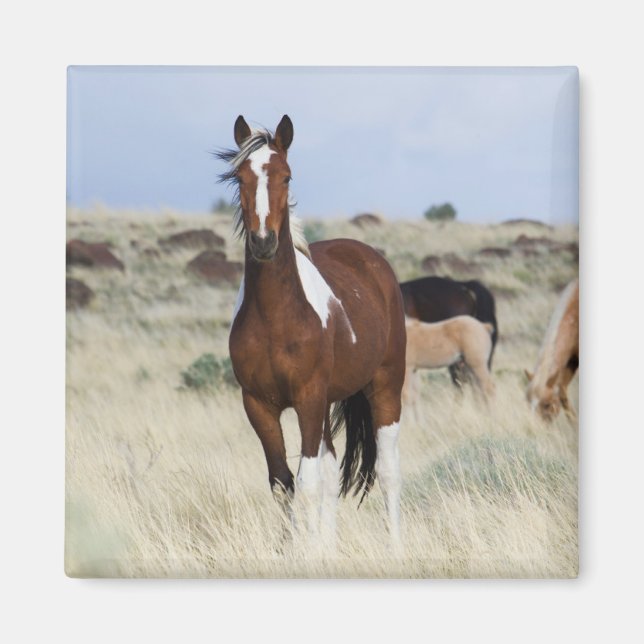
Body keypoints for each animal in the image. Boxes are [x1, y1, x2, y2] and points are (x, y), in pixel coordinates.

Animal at [218, 115, 407, 544]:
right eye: (239, 177)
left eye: (286, 176)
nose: (264, 243)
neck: (277, 318)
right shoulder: (259, 405)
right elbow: (283, 483)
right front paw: (297, 548)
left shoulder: (307, 398)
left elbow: (306, 485)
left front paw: (307, 550)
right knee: (332, 474)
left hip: (385, 389)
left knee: (388, 472)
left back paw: (395, 547)